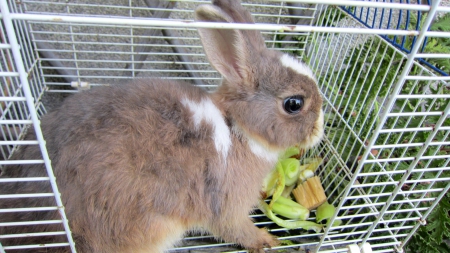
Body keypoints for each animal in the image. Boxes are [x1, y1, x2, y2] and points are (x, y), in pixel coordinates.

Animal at [0, 0, 324, 253]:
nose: (320, 129)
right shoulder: (226, 204)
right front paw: (267, 240)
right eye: (294, 104)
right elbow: (237, 230)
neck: (236, 128)